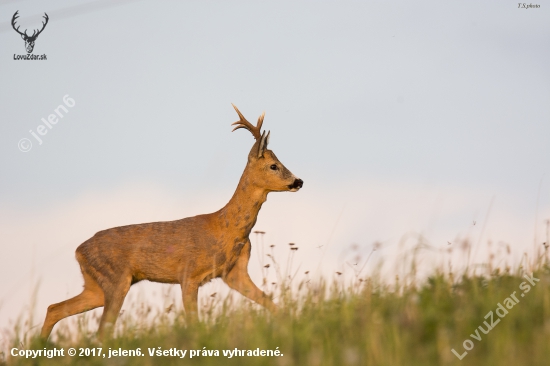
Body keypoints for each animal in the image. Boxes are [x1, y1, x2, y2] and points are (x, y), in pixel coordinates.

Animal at [41, 104, 304, 338]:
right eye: (273, 165)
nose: (298, 181)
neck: (226, 228)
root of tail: (78, 250)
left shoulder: (234, 273)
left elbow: (272, 304)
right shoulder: (188, 274)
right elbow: (193, 322)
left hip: (96, 286)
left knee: (54, 308)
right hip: (115, 279)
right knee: (101, 331)